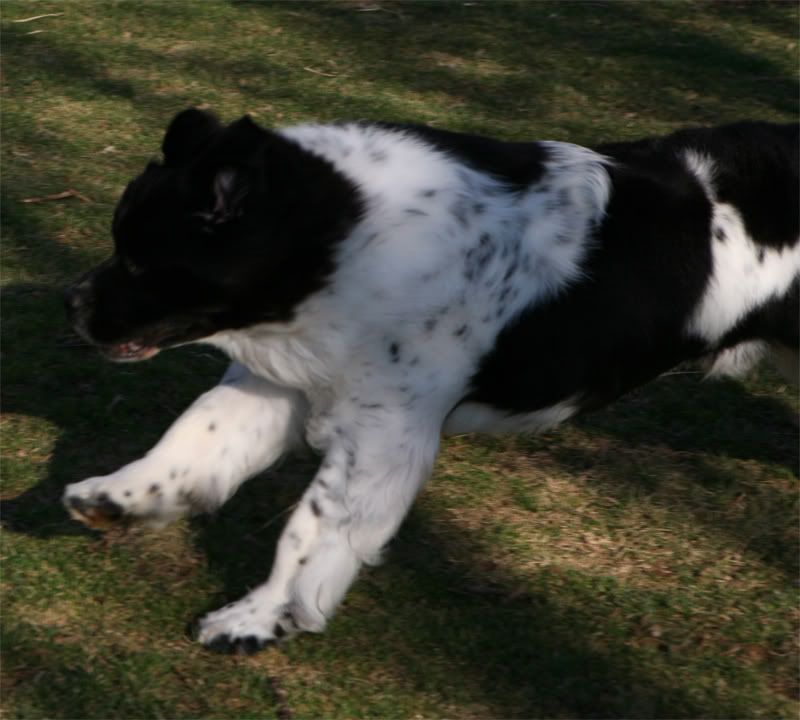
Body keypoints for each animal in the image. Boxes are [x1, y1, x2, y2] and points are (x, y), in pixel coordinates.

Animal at [64, 111, 800, 652]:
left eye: (138, 261)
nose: (72, 302)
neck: (344, 233)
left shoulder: (383, 435)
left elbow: (309, 531)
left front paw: (258, 618)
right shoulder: (285, 381)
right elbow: (193, 439)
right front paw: (117, 498)